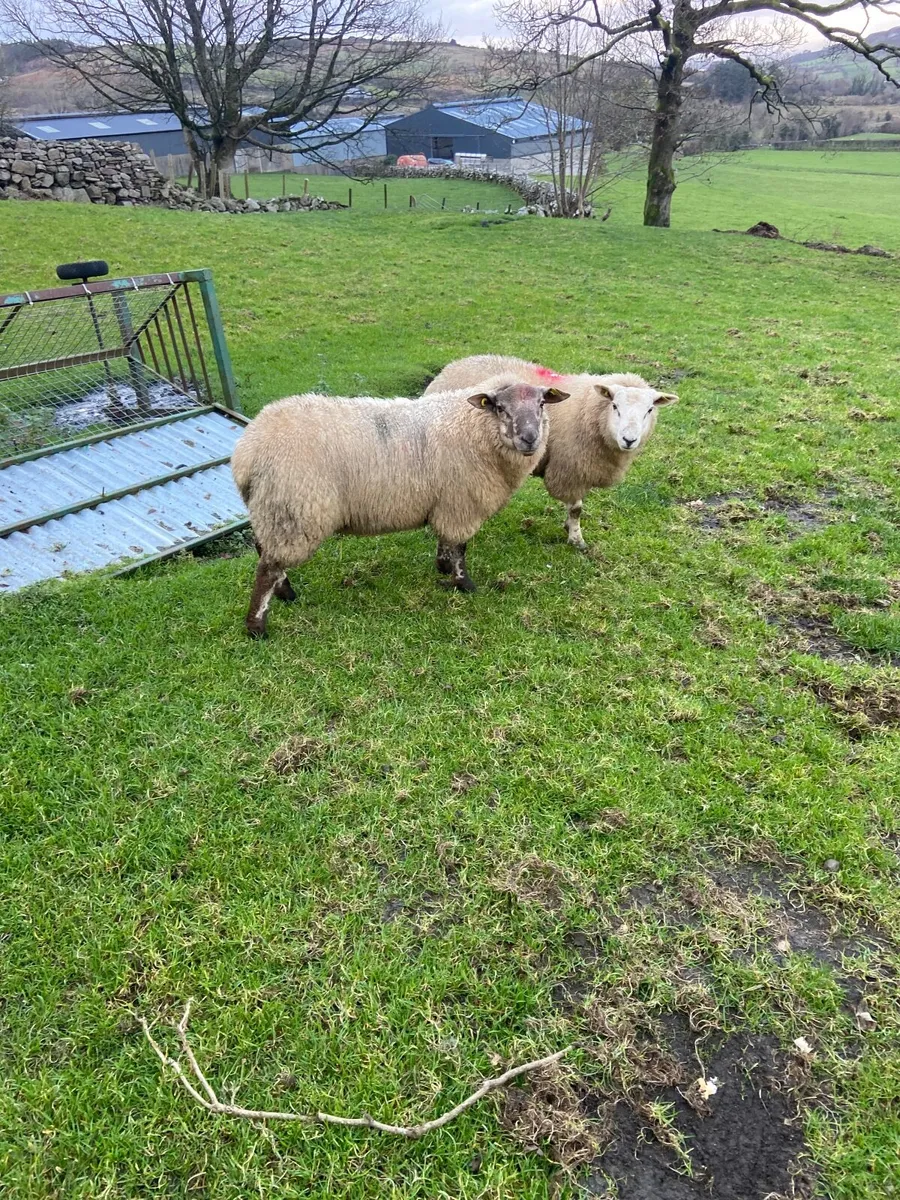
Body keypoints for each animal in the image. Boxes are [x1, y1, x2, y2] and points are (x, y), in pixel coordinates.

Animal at [231, 375, 569, 636]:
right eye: (500, 408)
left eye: (541, 404)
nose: (529, 438)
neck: (475, 428)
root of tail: (248, 450)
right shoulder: (461, 503)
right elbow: (460, 548)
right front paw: (465, 585)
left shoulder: (446, 502)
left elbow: (446, 542)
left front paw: (442, 566)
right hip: (295, 509)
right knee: (267, 568)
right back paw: (258, 626)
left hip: (273, 508)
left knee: (264, 551)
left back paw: (284, 593)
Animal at [424, 355, 678, 550]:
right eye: (614, 406)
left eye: (649, 410)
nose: (629, 440)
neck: (591, 412)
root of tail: (451, 366)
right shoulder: (570, 467)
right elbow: (576, 508)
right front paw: (576, 539)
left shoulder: (583, 467)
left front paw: (569, 528)